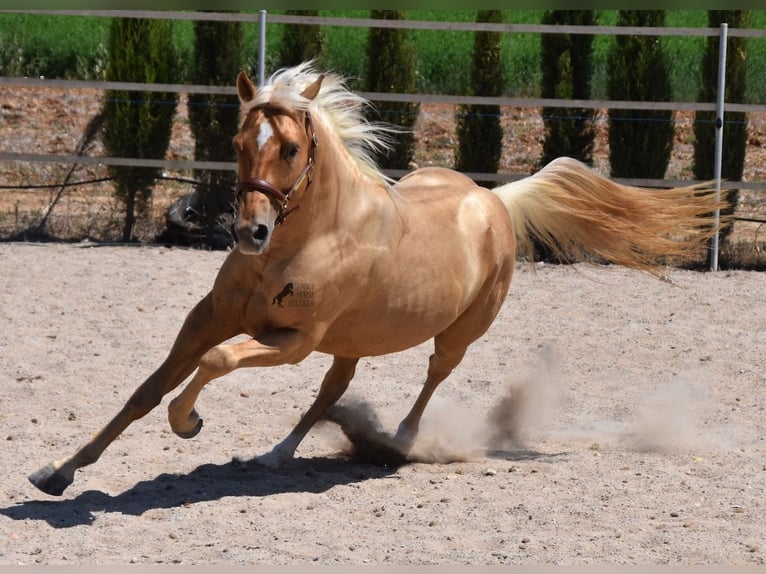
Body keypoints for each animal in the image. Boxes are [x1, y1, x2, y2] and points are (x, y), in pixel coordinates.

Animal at [28, 60, 728, 498]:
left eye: (290, 148)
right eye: (238, 141)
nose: (249, 232)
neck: (306, 239)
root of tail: (494, 201)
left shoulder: (293, 340)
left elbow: (216, 363)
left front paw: (188, 423)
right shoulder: (210, 318)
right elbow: (144, 391)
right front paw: (58, 474)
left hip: (455, 335)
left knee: (430, 378)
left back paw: (400, 443)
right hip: (352, 344)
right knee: (330, 394)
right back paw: (276, 454)